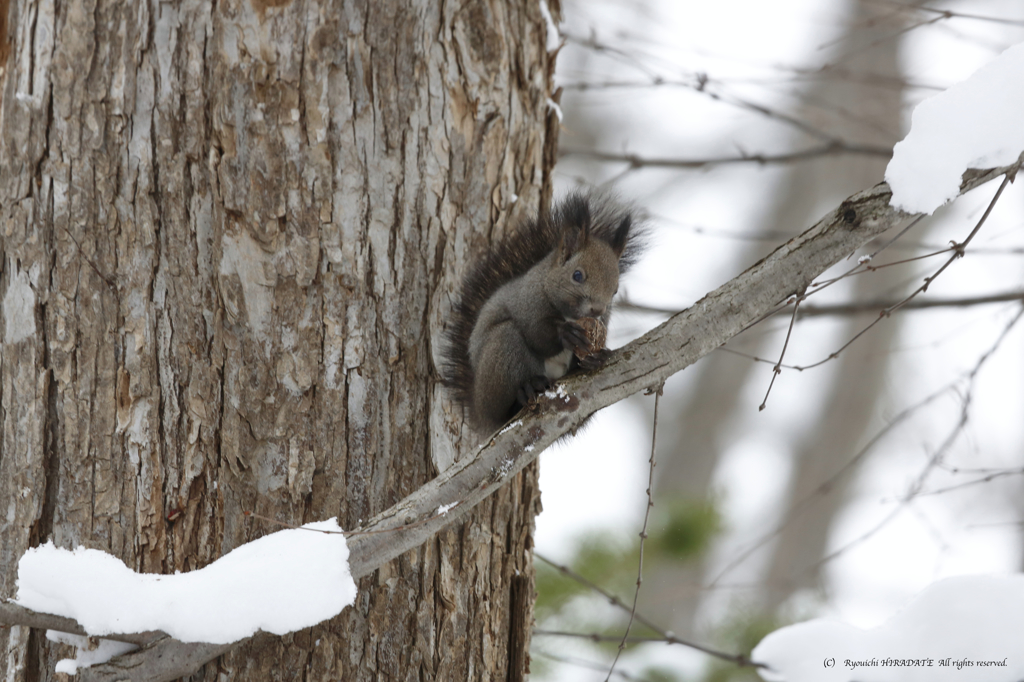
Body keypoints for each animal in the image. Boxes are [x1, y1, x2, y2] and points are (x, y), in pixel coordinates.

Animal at [440, 189, 638, 436]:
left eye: (615, 290)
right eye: (577, 275)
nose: (597, 309)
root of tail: (479, 411)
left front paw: (597, 356)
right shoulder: (527, 300)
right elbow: (537, 333)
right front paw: (566, 334)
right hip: (502, 352)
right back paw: (526, 390)